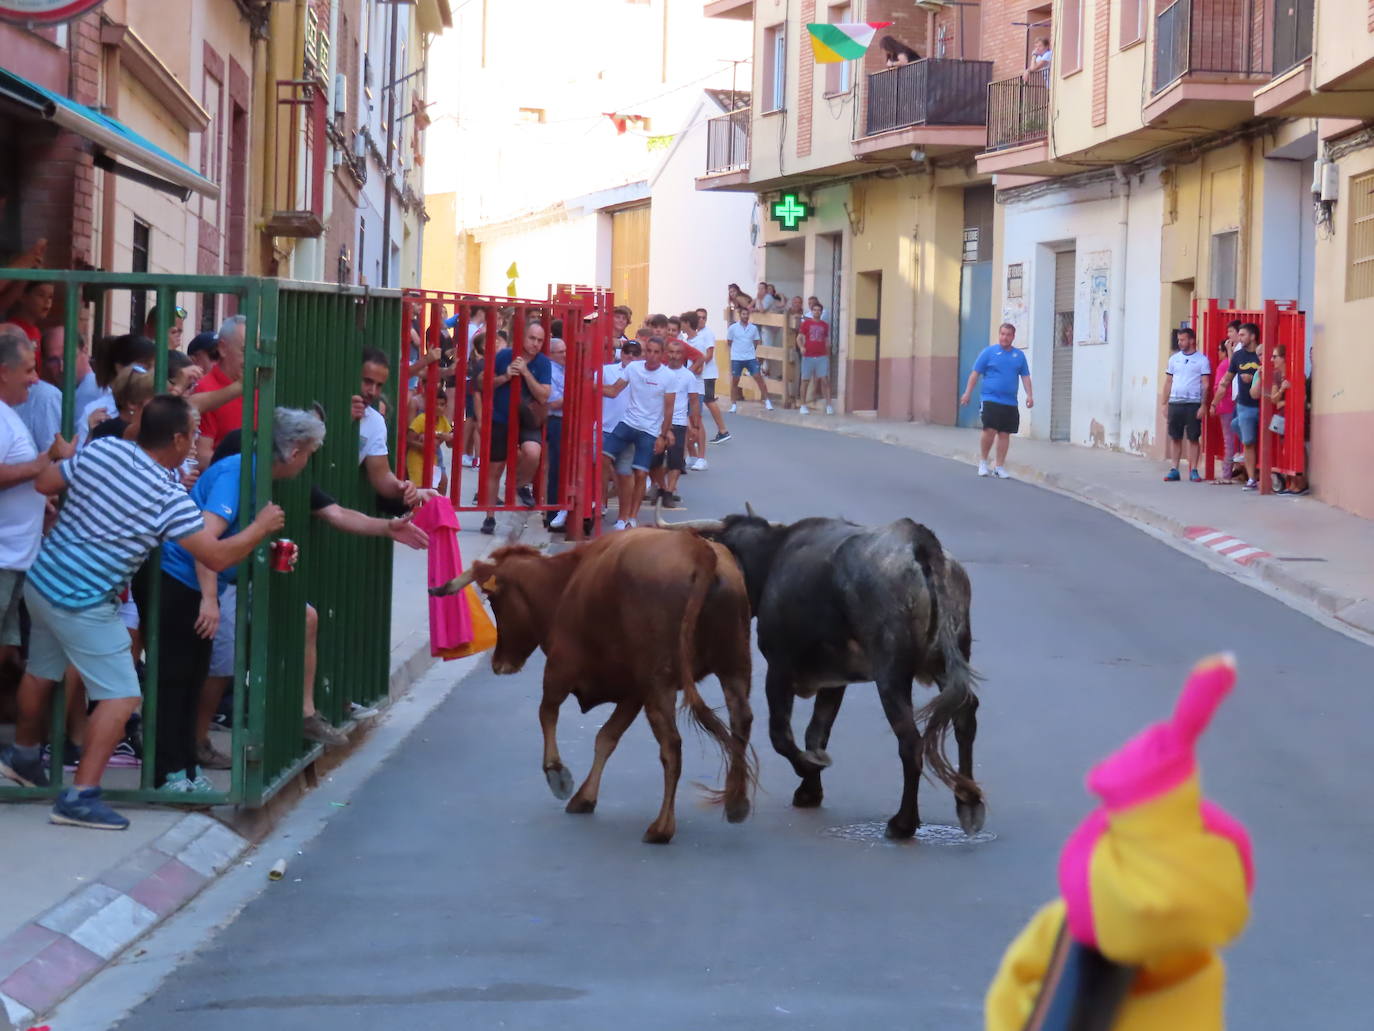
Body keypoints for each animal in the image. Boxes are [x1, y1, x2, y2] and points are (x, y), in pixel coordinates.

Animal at [431, 527, 758, 841]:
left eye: (494, 601)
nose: (499, 663)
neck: (564, 583)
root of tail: (698, 550)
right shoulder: (633, 691)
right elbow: (606, 738)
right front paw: (584, 797)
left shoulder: (560, 668)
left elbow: (546, 713)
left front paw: (557, 773)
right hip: (734, 667)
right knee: (740, 722)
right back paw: (736, 801)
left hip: (660, 682)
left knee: (672, 746)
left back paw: (662, 827)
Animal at [656, 505, 989, 841]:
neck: (773, 557)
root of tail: (919, 543)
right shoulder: (835, 680)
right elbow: (816, 732)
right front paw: (810, 790)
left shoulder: (779, 669)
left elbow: (782, 735)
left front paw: (810, 769)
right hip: (947, 662)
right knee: (964, 715)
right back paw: (968, 803)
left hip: (891, 676)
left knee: (910, 741)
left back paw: (903, 823)